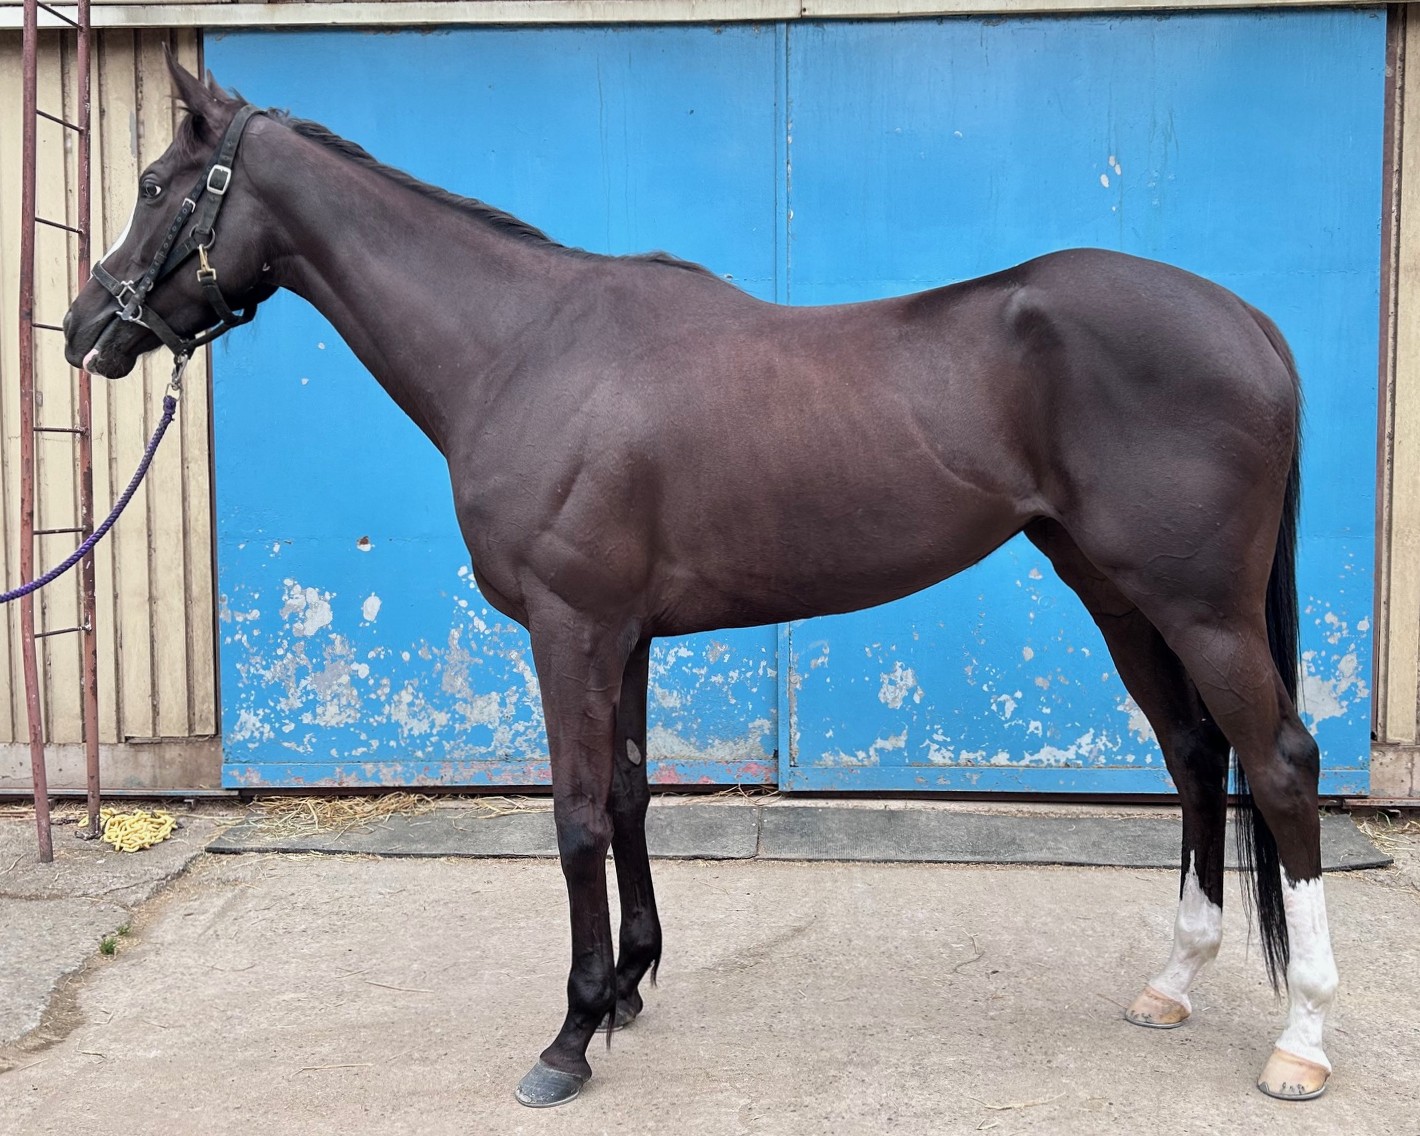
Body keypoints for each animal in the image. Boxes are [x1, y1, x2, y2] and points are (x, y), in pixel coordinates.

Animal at [63, 54, 1339, 1106]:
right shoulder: (623, 632)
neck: (522, 346)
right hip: (1118, 594)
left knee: (1277, 763)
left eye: (152, 181)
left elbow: (577, 813)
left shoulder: (570, 627)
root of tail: (1252, 324)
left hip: (1199, 607)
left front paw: (567, 1036)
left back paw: (1302, 1040)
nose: (83, 326)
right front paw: (627, 987)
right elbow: (630, 796)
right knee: (1195, 756)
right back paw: (1171, 980)